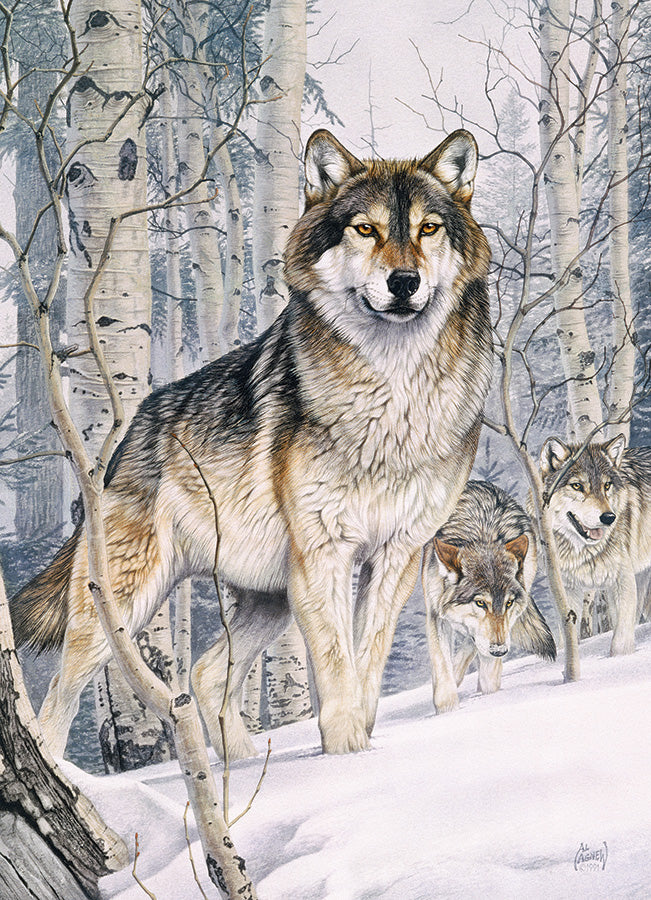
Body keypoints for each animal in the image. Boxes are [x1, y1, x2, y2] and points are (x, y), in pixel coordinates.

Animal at [12, 128, 493, 759]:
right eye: (366, 229)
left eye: (428, 228)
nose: (404, 282)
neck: (393, 393)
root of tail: (123, 442)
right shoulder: (324, 554)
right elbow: (336, 667)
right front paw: (345, 755)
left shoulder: (397, 553)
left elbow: (367, 665)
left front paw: (361, 751)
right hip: (122, 608)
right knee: (56, 704)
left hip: (270, 602)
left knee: (205, 673)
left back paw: (238, 770)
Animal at [422, 481, 556, 713]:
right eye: (480, 603)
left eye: (509, 603)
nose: (500, 651)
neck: (484, 534)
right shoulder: (435, 615)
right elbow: (443, 676)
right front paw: (447, 712)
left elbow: (489, 680)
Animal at [540, 434, 651, 655]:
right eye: (577, 486)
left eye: (606, 486)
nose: (609, 517)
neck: (581, 550)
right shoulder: (567, 590)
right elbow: (570, 637)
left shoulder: (623, 581)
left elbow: (620, 641)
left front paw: (618, 660)